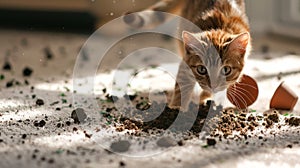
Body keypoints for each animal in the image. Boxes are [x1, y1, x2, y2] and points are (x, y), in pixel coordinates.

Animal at [123, 0, 251, 109]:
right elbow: (182, 87)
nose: (213, 85)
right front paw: (176, 108)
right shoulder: (185, 65)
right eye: (201, 69)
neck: (218, 28)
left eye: (226, 70)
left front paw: (204, 98)